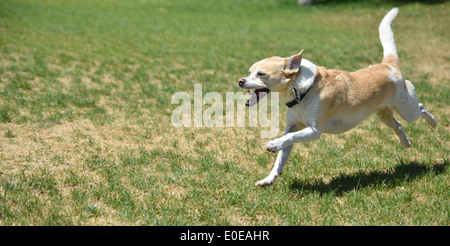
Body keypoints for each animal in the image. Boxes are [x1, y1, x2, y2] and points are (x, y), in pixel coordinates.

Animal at [237, 8, 438, 186]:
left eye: (261, 74)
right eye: (249, 72)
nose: (240, 81)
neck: (304, 90)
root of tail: (388, 65)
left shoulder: (314, 130)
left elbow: (289, 138)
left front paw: (273, 144)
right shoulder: (292, 126)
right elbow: (282, 156)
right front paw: (268, 179)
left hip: (407, 107)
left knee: (420, 108)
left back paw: (434, 123)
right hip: (384, 114)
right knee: (398, 124)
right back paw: (405, 142)